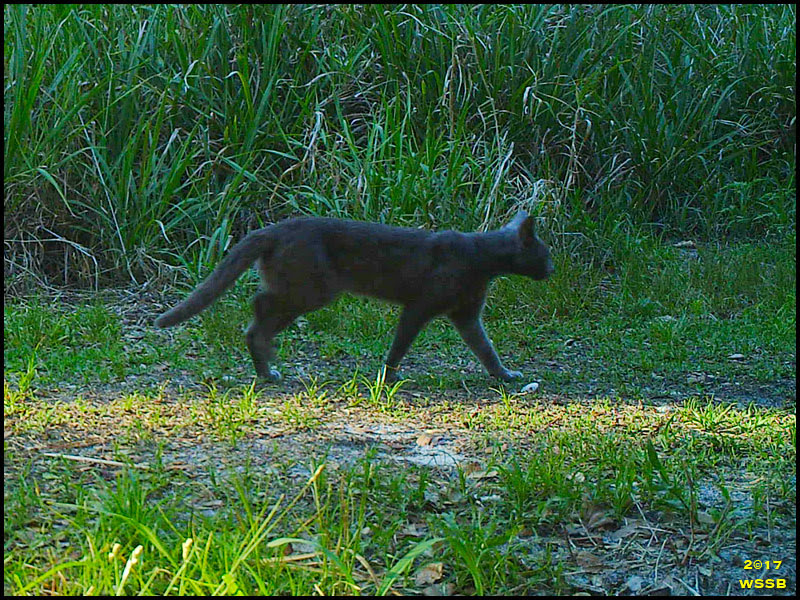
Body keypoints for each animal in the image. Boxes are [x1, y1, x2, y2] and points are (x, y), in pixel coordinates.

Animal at [155, 212, 554, 382]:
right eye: (546, 253)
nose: (552, 268)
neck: (480, 259)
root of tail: (274, 228)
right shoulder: (420, 306)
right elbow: (400, 343)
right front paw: (389, 375)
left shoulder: (467, 314)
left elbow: (485, 348)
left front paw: (505, 374)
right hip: (314, 289)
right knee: (259, 308)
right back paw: (268, 364)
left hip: (304, 288)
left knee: (259, 309)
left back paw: (266, 368)